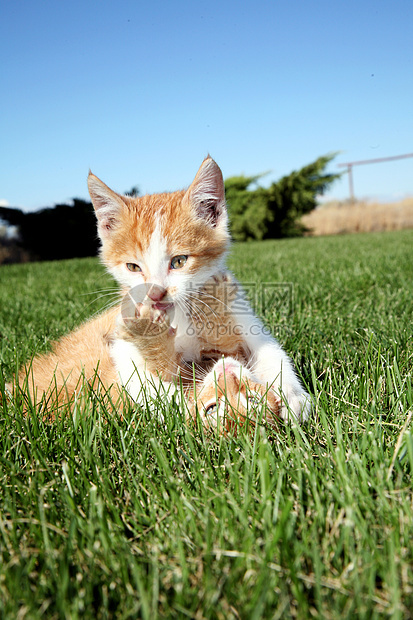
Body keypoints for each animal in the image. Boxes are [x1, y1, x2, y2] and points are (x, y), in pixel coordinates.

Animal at [12, 157, 308, 424]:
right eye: (133, 267)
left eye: (179, 261)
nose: (155, 294)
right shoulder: (123, 341)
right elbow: (147, 381)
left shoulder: (237, 308)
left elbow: (270, 349)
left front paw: (292, 397)